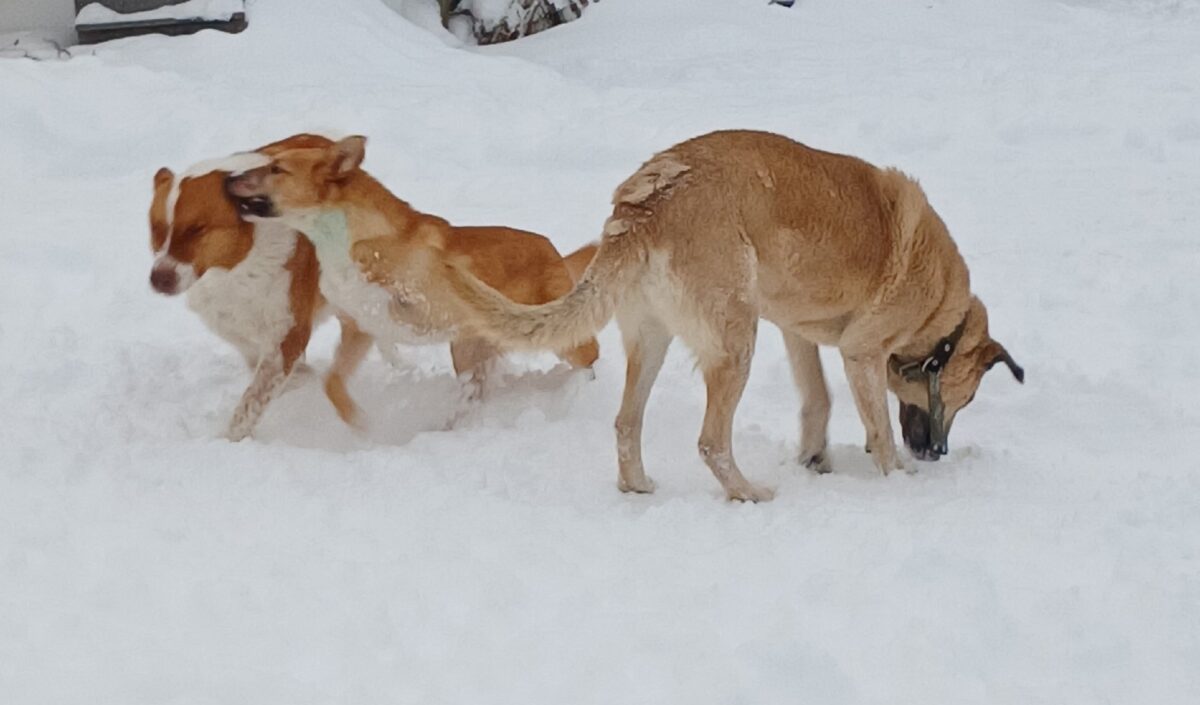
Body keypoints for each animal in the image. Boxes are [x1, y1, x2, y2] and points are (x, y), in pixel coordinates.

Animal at [225, 133, 600, 412]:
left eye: (276, 168)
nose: (229, 179)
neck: (340, 238)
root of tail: (554, 252)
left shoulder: (426, 304)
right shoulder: (358, 325)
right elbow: (334, 383)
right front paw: (361, 424)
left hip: (550, 333)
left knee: (589, 355)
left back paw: (582, 392)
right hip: (467, 352)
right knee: (474, 392)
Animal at [441, 128, 1022, 501]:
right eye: (967, 398)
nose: (938, 453)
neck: (941, 321)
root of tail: (644, 204)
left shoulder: (796, 332)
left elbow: (818, 398)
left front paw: (816, 458)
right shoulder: (861, 354)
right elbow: (876, 425)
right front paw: (897, 480)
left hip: (653, 339)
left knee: (627, 422)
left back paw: (637, 485)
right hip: (736, 342)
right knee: (711, 442)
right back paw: (747, 492)